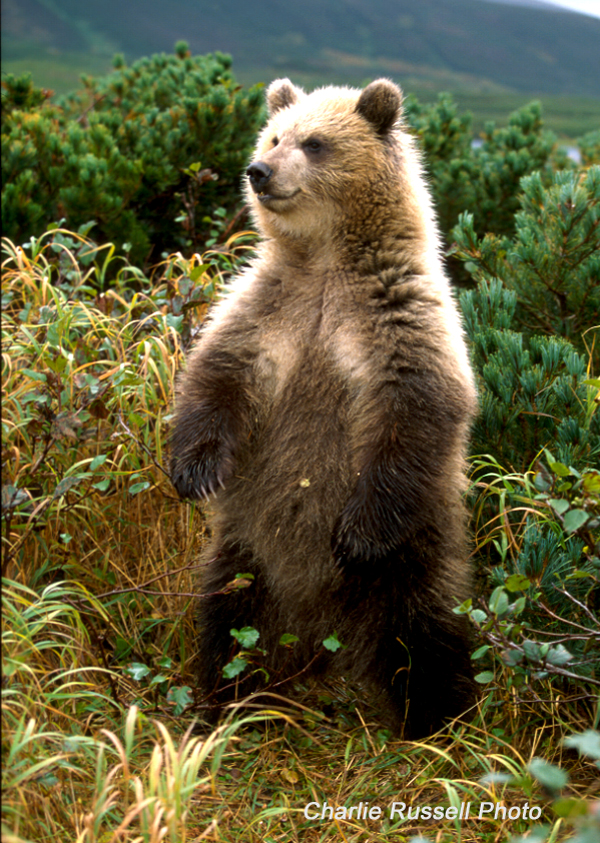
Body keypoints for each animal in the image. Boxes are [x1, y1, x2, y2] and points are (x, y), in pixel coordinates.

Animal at [170, 79, 478, 740]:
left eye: (315, 143)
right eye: (273, 136)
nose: (259, 172)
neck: (325, 260)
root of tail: (320, 634)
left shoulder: (397, 316)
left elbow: (420, 405)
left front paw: (356, 534)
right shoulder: (268, 309)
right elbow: (216, 374)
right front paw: (194, 470)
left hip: (413, 551)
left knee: (425, 633)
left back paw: (438, 721)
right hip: (247, 548)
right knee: (228, 616)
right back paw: (225, 701)